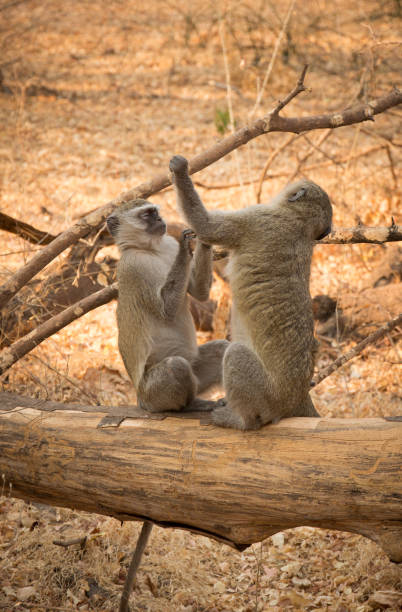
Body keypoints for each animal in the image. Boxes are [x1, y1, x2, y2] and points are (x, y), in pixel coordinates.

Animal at [106, 198, 229, 414]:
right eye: (147, 215)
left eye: (155, 212)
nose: (160, 220)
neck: (152, 250)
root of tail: (140, 399)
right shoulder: (134, 266)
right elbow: (167, 309)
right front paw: (185, 244)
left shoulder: (168, 245)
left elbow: (199, 293)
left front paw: (201, 235)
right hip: (153, 395)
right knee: (175, 365)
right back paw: (191, 406)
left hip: (195, 372)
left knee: (220, 350)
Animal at [170, 155, 332, 430]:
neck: (299, 223)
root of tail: (294, 397)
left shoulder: (258, 219)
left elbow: (207, 224)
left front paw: (180, 170)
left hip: (265, 395)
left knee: (235, 355)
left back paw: (240, 420)